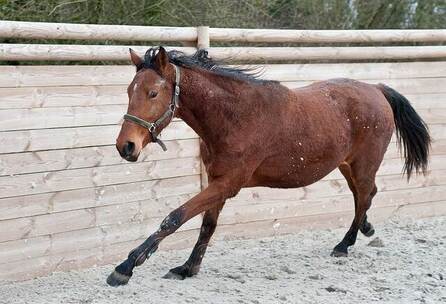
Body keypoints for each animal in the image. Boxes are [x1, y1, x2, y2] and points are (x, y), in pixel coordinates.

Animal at [107, 47, 428, 284]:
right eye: (128, 91)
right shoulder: (217, 180)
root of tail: (376, 88)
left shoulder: (228, 183)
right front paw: (188, 268)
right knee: (365, 195)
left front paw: (126, 266)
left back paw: (344, 244)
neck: (236, 117)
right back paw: (365, 230)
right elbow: (207, 225)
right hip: (347, 165)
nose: (126, 146)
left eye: (152, 93)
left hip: (363, 165)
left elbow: (175, 217)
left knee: (364, 196)